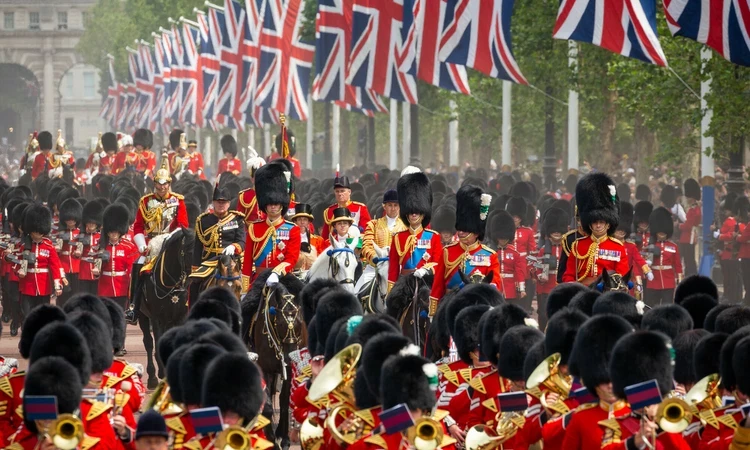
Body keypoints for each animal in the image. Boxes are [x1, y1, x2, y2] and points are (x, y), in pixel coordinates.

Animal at [137, 230, 194, 388]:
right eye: (188, 251)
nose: (190, 280)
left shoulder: (180, 317)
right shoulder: (157, 318)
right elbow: (156, 344)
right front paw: (162, 373)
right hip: (143, 316)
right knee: (148, 343)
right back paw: (152, 377)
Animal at [244, 268, 308, 448]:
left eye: (299, 324)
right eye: (279, 324)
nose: (289, 358)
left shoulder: (288, 370)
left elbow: (284, 400)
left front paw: (284, 437)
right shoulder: (264, 367)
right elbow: (267, 404)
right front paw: (271, 438)